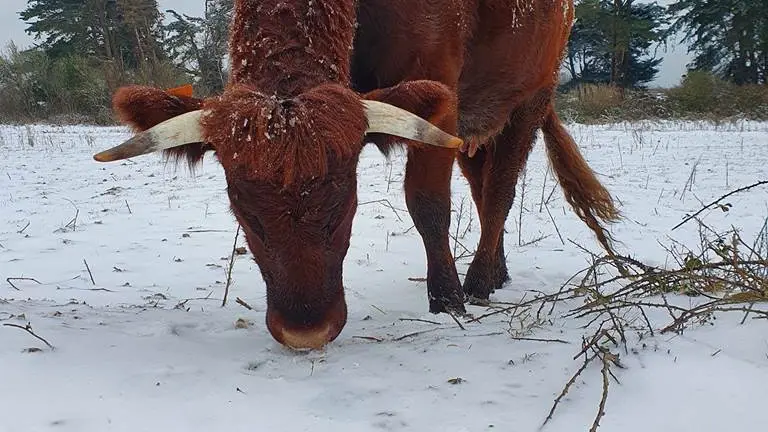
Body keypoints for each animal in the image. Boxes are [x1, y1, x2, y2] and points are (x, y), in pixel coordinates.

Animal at [94, 0, 616, 350]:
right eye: (245, 213)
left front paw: (447, 299)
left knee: (501, 191)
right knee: (482, 185)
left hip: (529, 98)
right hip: (479, 122)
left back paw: (481, 280)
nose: (305, 332)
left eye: (343, 205)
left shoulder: (439, 100)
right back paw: (498, 270)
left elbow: (428, 204)